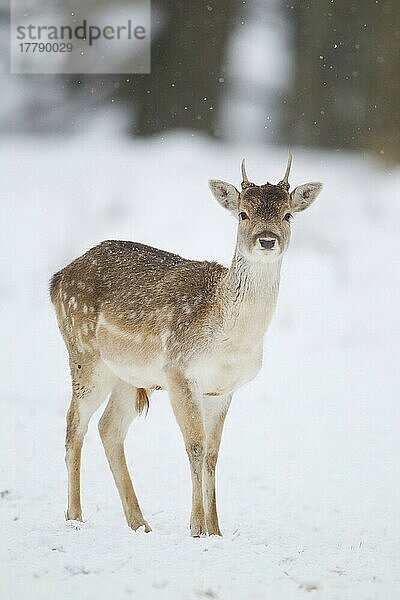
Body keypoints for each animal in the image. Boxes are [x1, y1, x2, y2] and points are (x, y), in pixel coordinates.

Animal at [50, 154, 324, 536]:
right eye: (243, 213)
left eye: (287, 214)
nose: (267, 240)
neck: (228, 342)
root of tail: (57, 278)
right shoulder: (179, 371)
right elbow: (194, 445)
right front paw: (197, 527)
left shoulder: (223, 389)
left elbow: (212, 453)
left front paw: (217, 529)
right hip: (84, 353)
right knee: (74, 423)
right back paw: (75, 516)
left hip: (127, 375)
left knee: (109, 427)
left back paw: (140, 523)